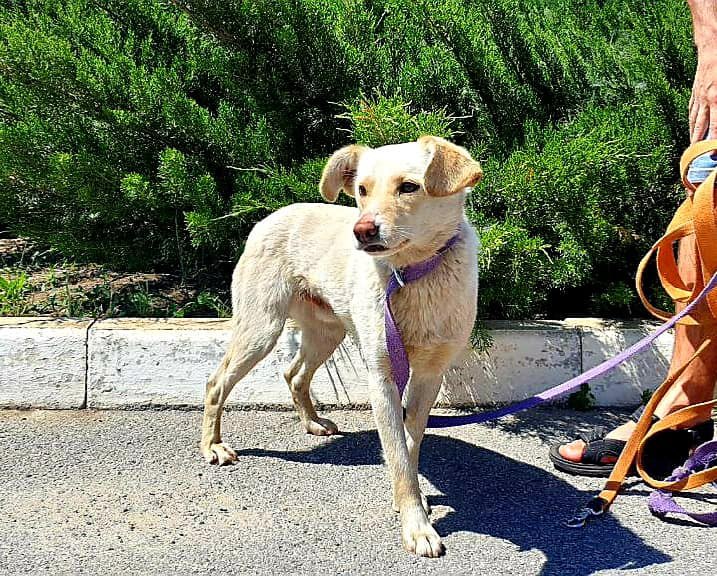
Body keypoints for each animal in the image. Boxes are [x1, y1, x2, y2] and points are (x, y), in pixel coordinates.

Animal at [200, 136, 482, 560]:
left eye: (409, 187)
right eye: (362, 190)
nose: (361, 230)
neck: (409, 274)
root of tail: (269, 217)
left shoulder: (429, 376)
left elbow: (409, 445)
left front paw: (411, 502)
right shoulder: (382, 378)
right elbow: (399, 457)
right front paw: (417, 528)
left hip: (326, 333)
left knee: (293, 373)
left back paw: (312, 421)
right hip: (261, 329)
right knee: (217, 383)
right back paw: (213, 446)